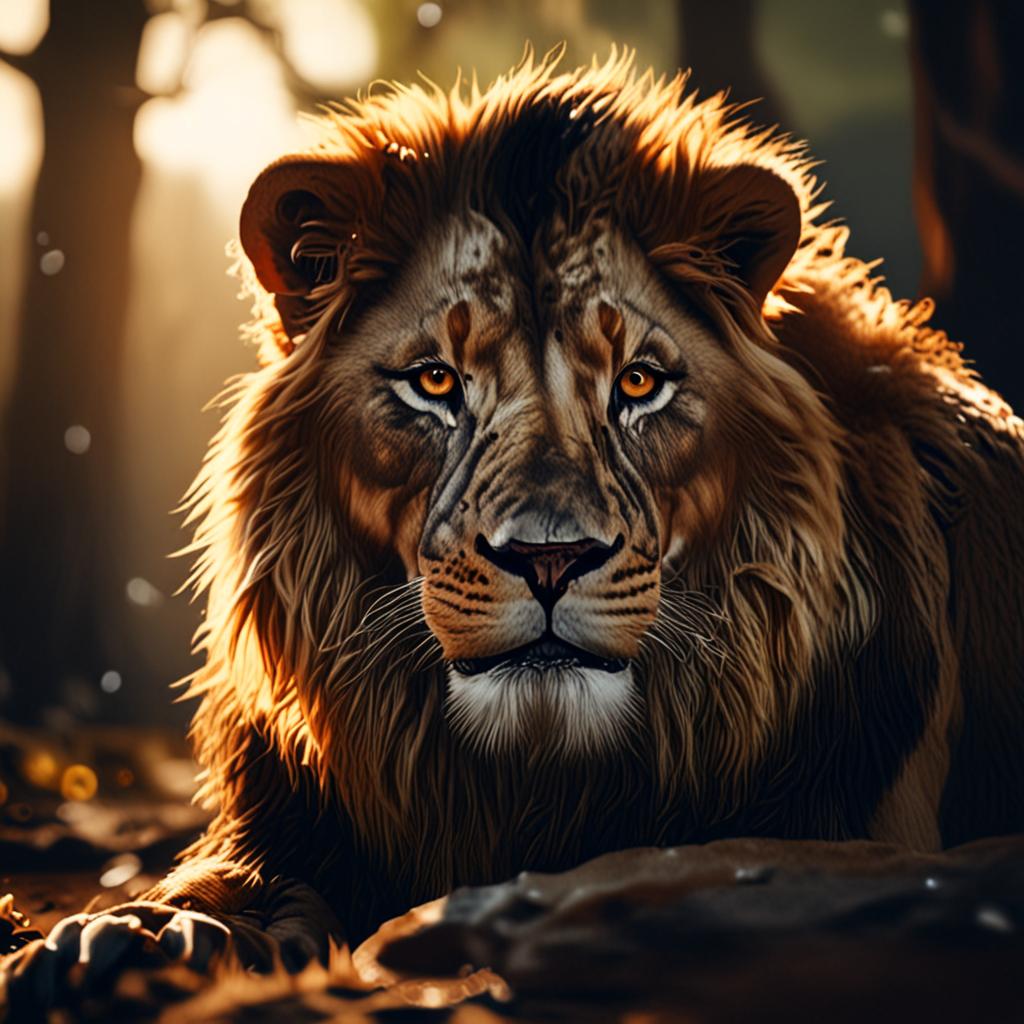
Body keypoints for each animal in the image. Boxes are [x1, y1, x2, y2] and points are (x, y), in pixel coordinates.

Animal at [6, 50, 1024, 992]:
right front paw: (131, 939)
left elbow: (735, 867)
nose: (551, 559)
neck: (527, 776)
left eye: (639, 384)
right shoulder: (288, 827)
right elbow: (222, 884)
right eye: (435, 381)